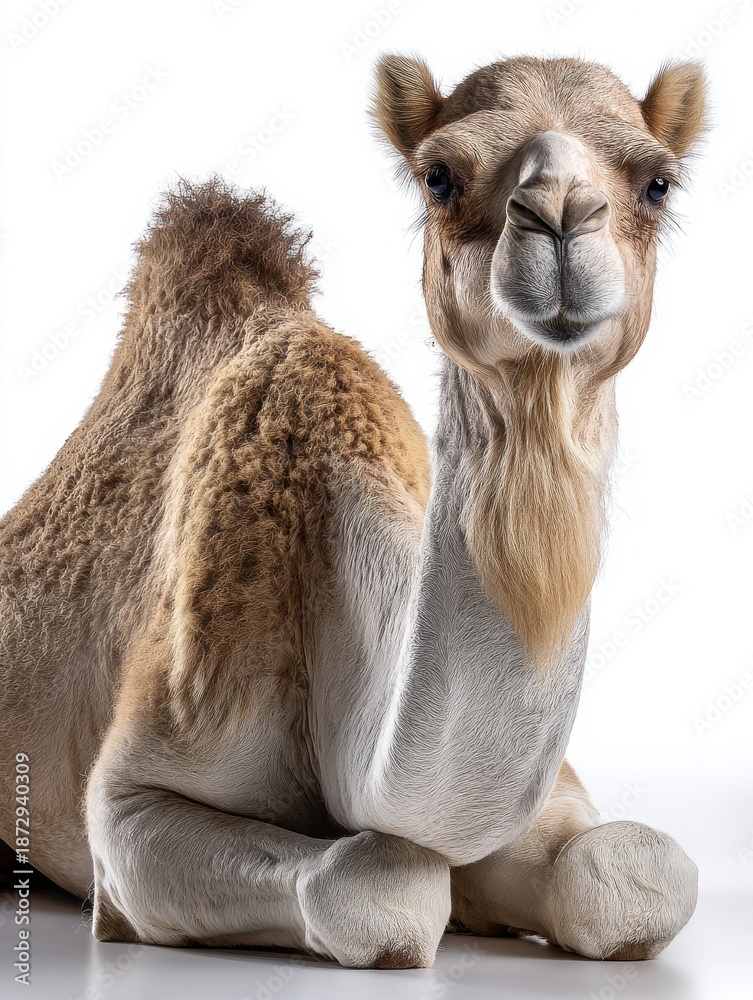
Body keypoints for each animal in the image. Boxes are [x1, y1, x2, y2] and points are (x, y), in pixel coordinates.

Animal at [0, 53, 706, 968]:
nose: (558, 217)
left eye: (657, 182)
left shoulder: (549, 797)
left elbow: (634, 870)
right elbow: (380, 882)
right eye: (438, 176)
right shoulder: (129, 810)